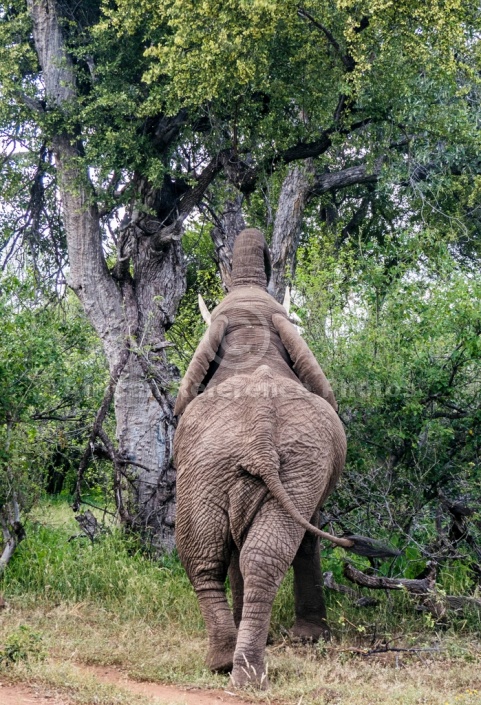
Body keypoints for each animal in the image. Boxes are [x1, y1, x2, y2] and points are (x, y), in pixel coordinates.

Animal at [172, 227, 344, 688]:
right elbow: (305, 536)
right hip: (247, 466)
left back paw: (229, 665)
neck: (253, 341)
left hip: (222, 466)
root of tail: (260, 429)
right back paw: (239, 667)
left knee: (208, 556)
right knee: (239, 556)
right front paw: (311, 639)